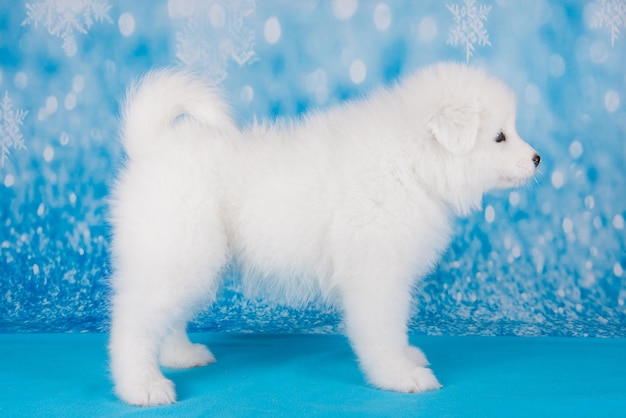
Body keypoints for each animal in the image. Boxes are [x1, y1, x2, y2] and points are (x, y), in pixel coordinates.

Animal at [107, 62, 536, 404]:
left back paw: (180, 355)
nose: (538, 159)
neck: (410, 166)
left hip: (188, 259)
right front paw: (400, 376)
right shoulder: (376, 276)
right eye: (499, 136)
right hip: (180, 252)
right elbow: (383, 332)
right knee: (133, 322)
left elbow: (396, 332)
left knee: (166, 317)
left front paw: (408, 357)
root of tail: (151, 148)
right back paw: (142, 386)